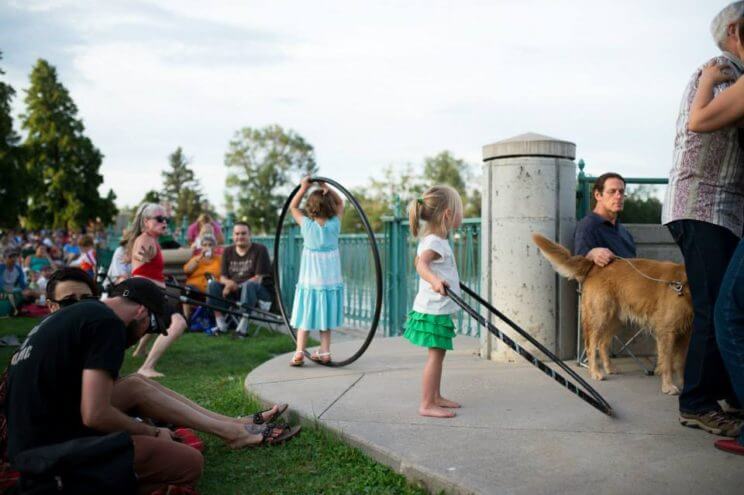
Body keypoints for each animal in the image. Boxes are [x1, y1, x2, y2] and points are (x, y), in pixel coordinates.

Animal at [528, 235, 692, 396]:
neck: (684, 286)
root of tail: (594, 265)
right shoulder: (667, 331)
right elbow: (667, 361)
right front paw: (668, 386)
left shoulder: (686, 334)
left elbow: (681, 362)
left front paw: (684, 384)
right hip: (599, 316)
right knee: (591, 345)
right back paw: (595, 372)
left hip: (615, 319)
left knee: (603, 343)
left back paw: (609, 367)